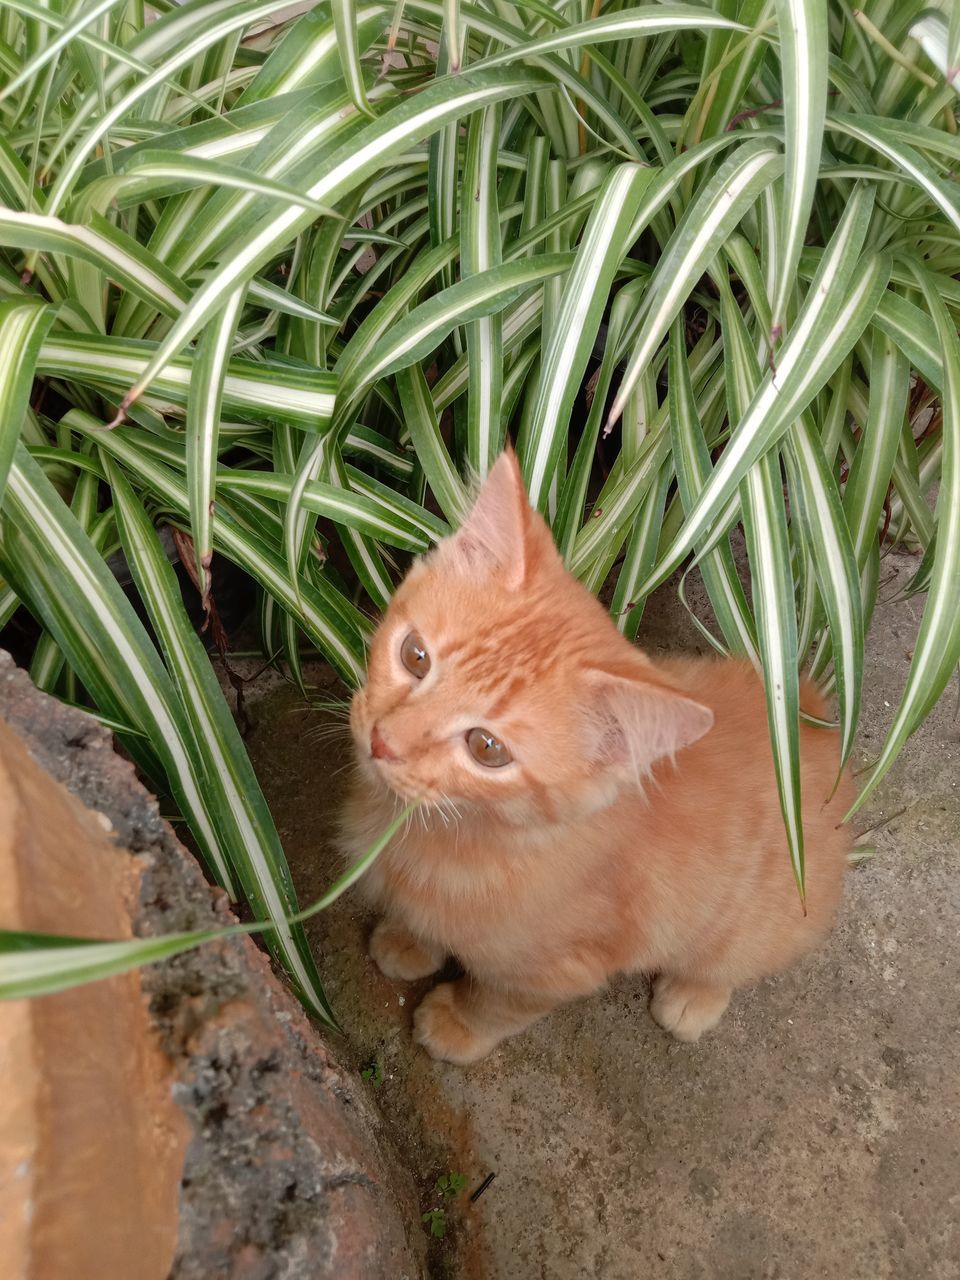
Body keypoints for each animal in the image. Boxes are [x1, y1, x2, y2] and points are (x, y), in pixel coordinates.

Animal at [340, 450, 855, 1059]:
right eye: (415, 656)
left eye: (486, 748)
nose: (383, 740)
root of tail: (808, 717)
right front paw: (408, 939)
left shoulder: (556, 968)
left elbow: (499, 1002)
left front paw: (458, 1024)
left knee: (733, 957)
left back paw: (693, 997)